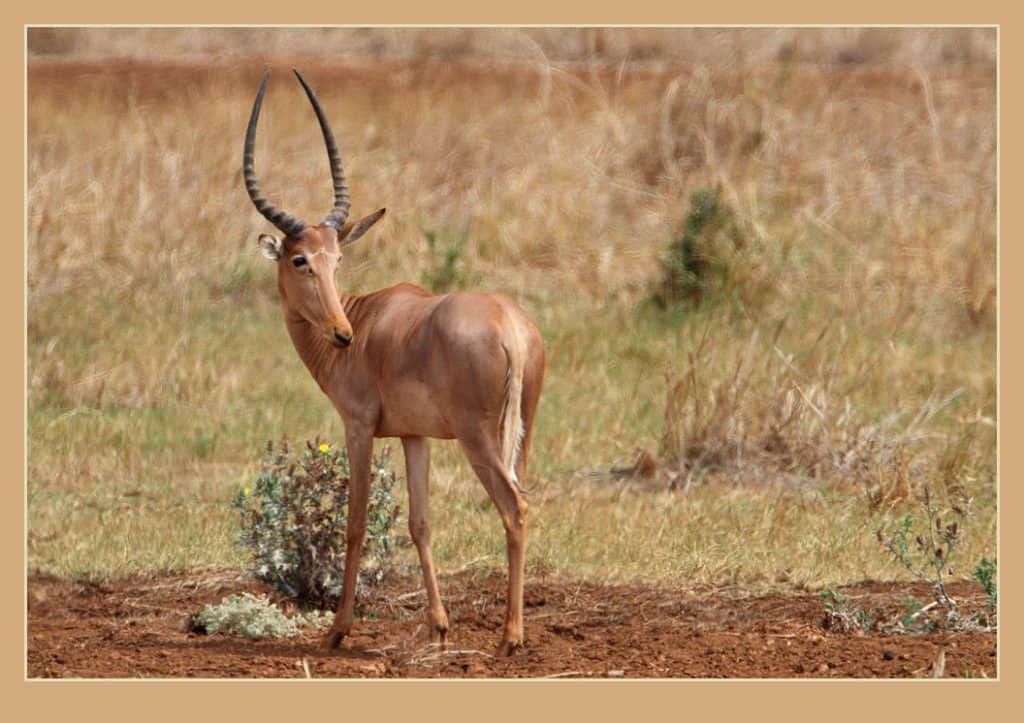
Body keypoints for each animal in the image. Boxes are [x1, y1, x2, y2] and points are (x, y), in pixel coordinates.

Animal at [243, 70, 545, 656]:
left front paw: (337, 630)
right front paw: (439, 626)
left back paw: (510, 637)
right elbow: (419, 522)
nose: (342, 335)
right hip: (520, 435)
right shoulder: (414, 436)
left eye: (335, 258)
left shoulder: (359, 428)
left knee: (515, 509)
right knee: (524, 498)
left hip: (479, 441)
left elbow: (356, 523)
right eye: (302, 258)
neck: (370, 316)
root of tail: (511, 327)